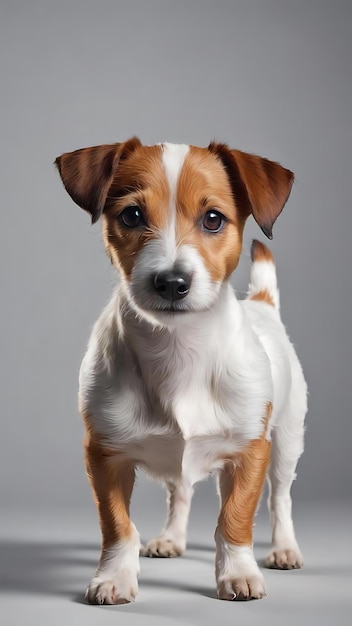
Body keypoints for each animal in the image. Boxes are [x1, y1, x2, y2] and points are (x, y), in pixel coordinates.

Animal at [55, 139, 308, 604]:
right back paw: (172, 537)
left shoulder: (251, 451)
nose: (172, 282)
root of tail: (261, 304)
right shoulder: (104, 454)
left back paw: (284, 548)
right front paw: (114, 577)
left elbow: (236, 517)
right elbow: (117, 524)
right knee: (181, 491)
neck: (178, 353)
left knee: (280, 497)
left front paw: (238, 573)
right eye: (132, 215)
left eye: (213, 219)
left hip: (286, 440)